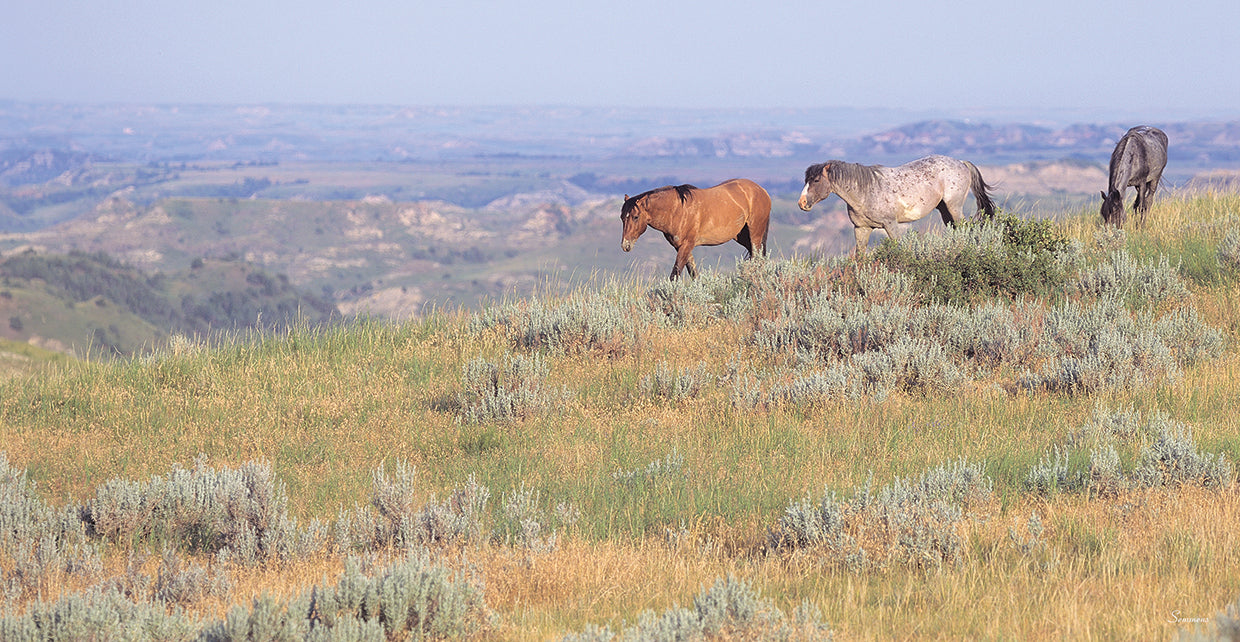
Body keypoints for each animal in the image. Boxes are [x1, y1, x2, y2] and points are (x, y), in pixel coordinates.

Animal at [620, 178, 771, 279]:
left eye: (635, 217)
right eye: (622, 217)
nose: (625, 245)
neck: (677, 210)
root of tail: (762, 191)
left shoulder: (687, 245)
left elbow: (675, 274)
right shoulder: (680, 247)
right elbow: (693, 273)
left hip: (755, 234)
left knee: (757, 258)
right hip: (742, 236)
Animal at [797, 154, 996, 255]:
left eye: (816, 180)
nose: (802, 203)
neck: (864, 192)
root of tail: (961, 163)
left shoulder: (890, 225)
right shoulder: (861, 228)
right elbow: (860, 256)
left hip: (954, 207)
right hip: (944, 210)